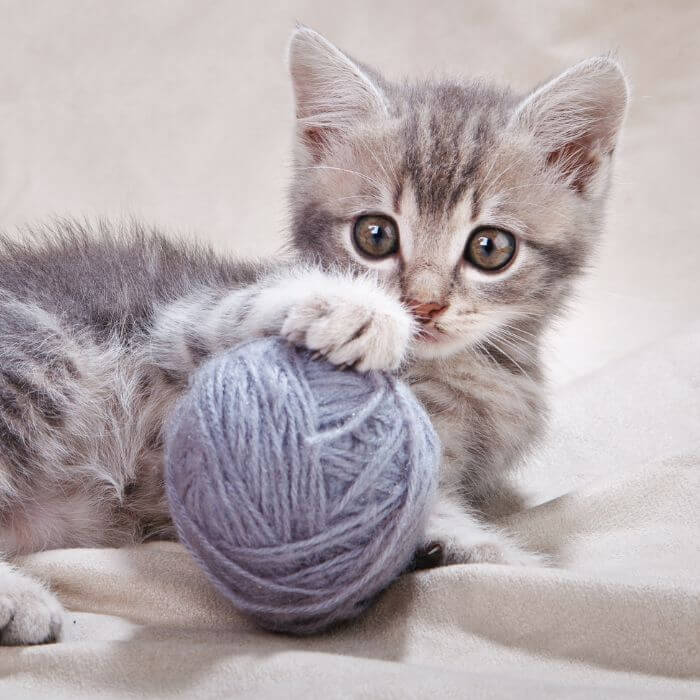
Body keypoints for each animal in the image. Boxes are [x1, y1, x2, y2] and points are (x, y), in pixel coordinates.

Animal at [0, 24, 628, 644]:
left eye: (491, 248)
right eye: (375, 235)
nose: (423, 306)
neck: (459, 371)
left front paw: (469, 547)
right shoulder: (171, 326)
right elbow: (231, 309)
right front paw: (355, 310)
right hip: (42, 350)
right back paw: (18, 600)